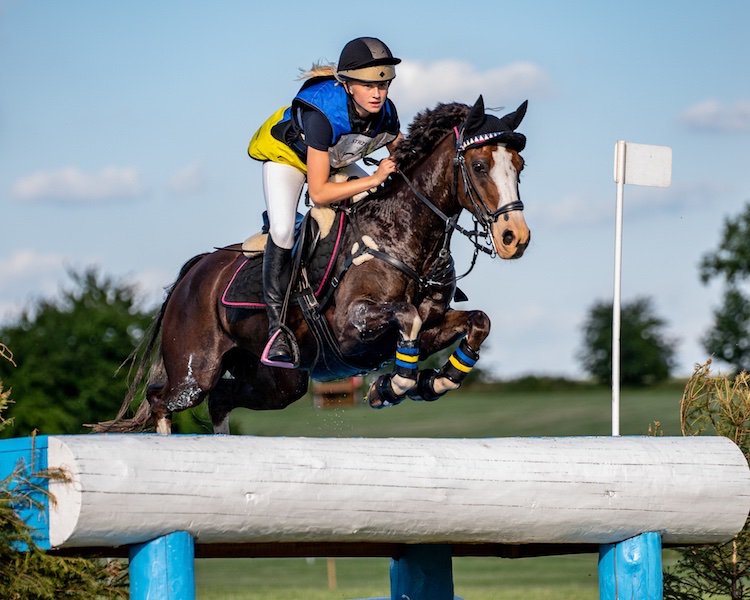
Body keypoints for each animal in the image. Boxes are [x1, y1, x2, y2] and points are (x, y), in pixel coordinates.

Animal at [98, 95, 531, 435]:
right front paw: (391, 388)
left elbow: (478, 321)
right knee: (163, 400)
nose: (516, 238)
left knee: (221, 399)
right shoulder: (352, 324)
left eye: (519, 166)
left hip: (278, 381)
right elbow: (407, 316)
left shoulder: (431, 325)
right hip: (195, 369)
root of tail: (199, 268)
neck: (405, 237)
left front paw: (433, 383)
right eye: (478, 166)